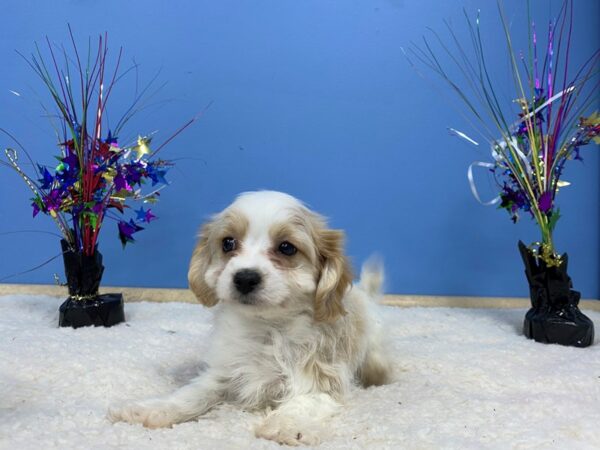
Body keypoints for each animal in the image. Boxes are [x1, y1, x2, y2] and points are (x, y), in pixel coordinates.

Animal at [109, 191, 394, 446]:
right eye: (228, 243)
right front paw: (154, 409)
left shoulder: (324, 379)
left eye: (287, 248)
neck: (266, 328)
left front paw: (286, 425)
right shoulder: (224, 372)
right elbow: (192, 392)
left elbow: (306, 401)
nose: (245, 277)